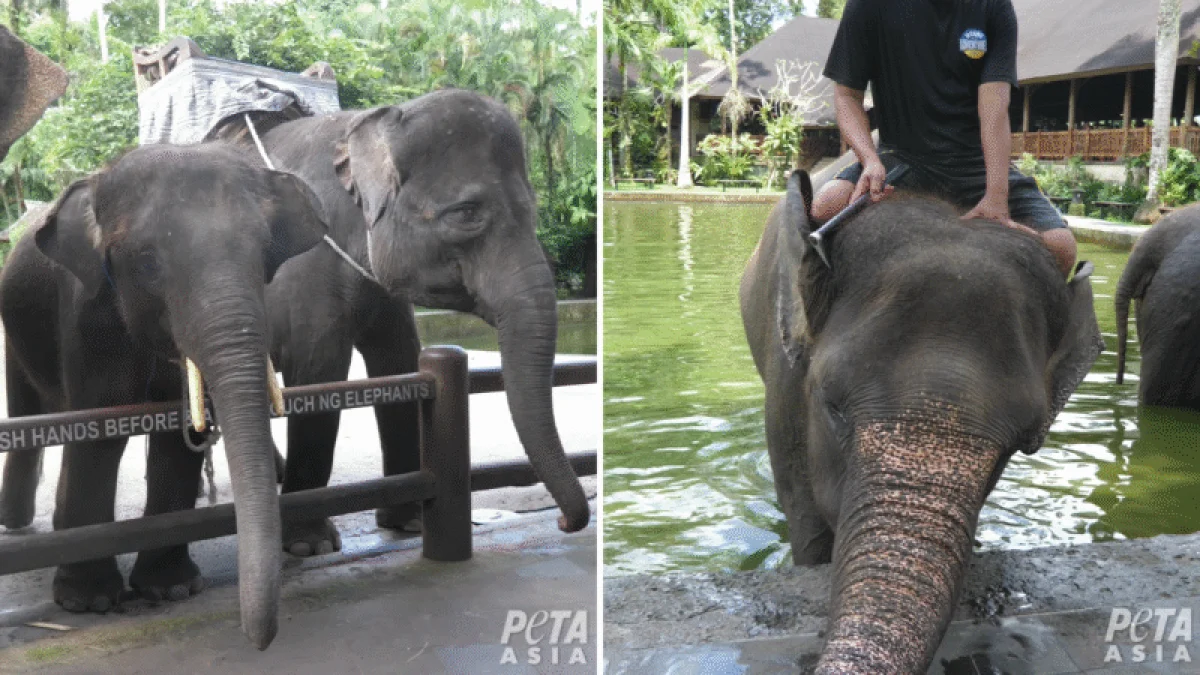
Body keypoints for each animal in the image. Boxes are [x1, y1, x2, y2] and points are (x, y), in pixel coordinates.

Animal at [0, 143, 329, 649]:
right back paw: (17, 523)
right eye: (148, 262)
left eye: (262, 254)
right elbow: (99, 431)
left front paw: (170, 589)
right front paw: (89, 602)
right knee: (27, 416)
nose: (259, 640)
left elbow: (178, 437)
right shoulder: (87, 319)